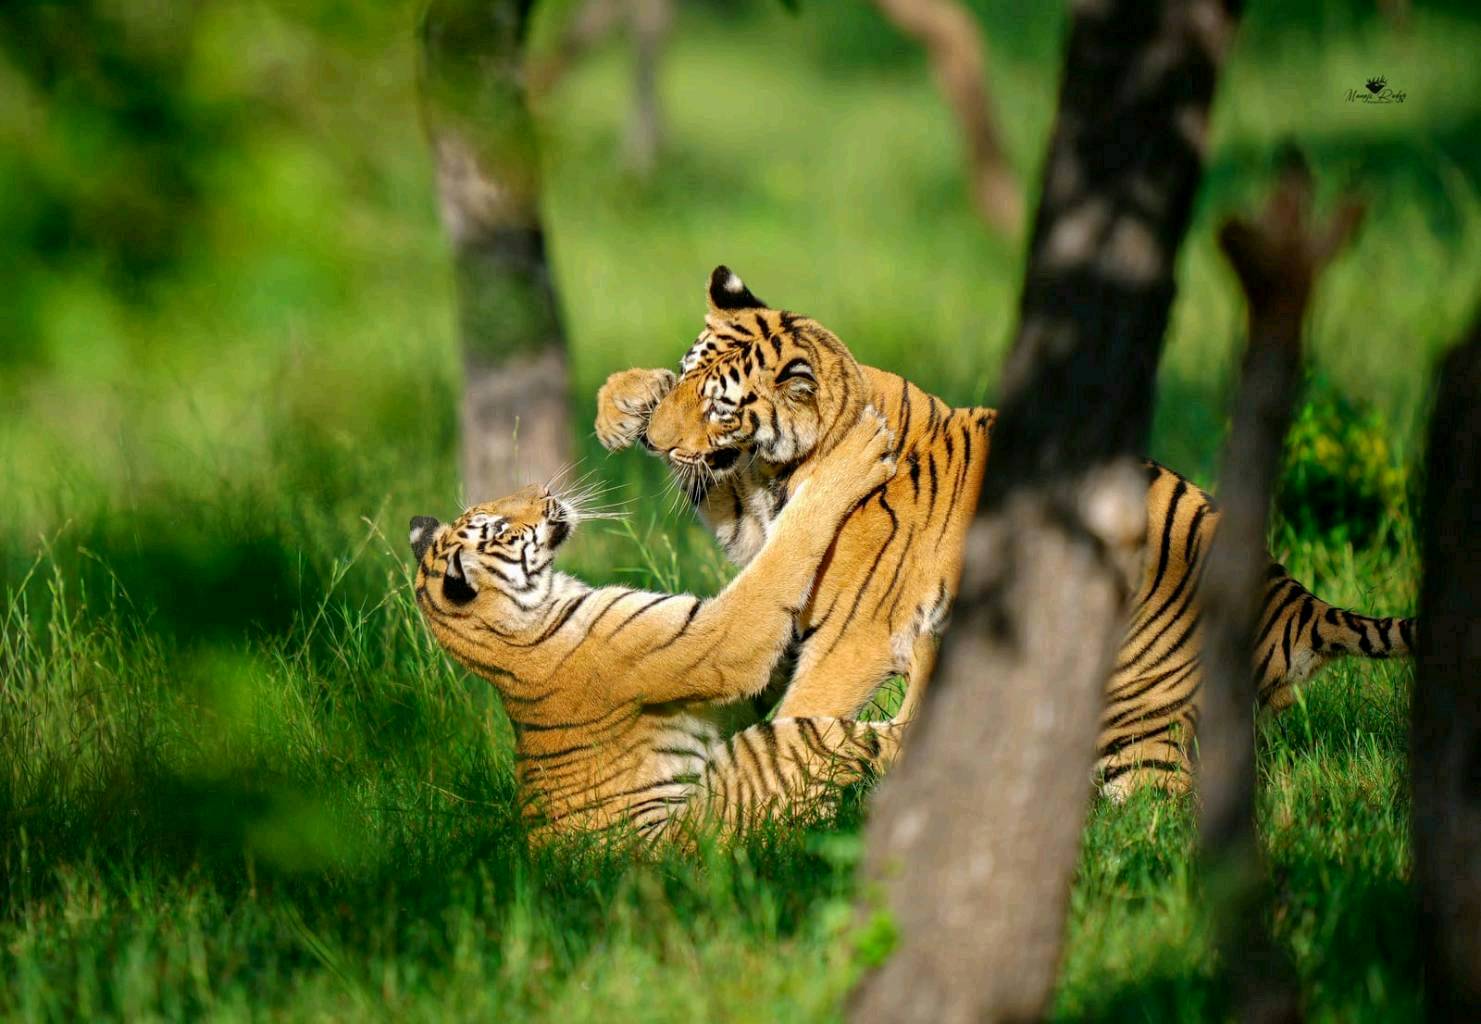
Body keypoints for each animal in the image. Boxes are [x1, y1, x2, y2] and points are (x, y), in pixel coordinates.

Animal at [409, 408, 904, 844]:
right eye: (498, 527)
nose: (541, 489)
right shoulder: (722, 639)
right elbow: (778, 560)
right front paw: (859, 451)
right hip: (758, 769)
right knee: (873, 745)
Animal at [595, 265, 1415, 799]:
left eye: (721, 407)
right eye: (689, 379)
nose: (655, 445)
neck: (782, 469)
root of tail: (1289, 594)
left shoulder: (855, 633)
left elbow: (807, 698)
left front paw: (767, 775)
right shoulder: (752, 514)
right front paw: (624, 401)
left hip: (1135, 710)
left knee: (1156, 811)